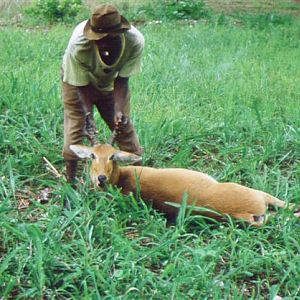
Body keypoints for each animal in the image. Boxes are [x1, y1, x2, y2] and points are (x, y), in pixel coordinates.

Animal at [69, 144, 296, 227]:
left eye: (111, 156)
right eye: (92, 155)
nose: (100, 178)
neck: (121, 181)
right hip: (257, 194)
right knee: (289, 208)